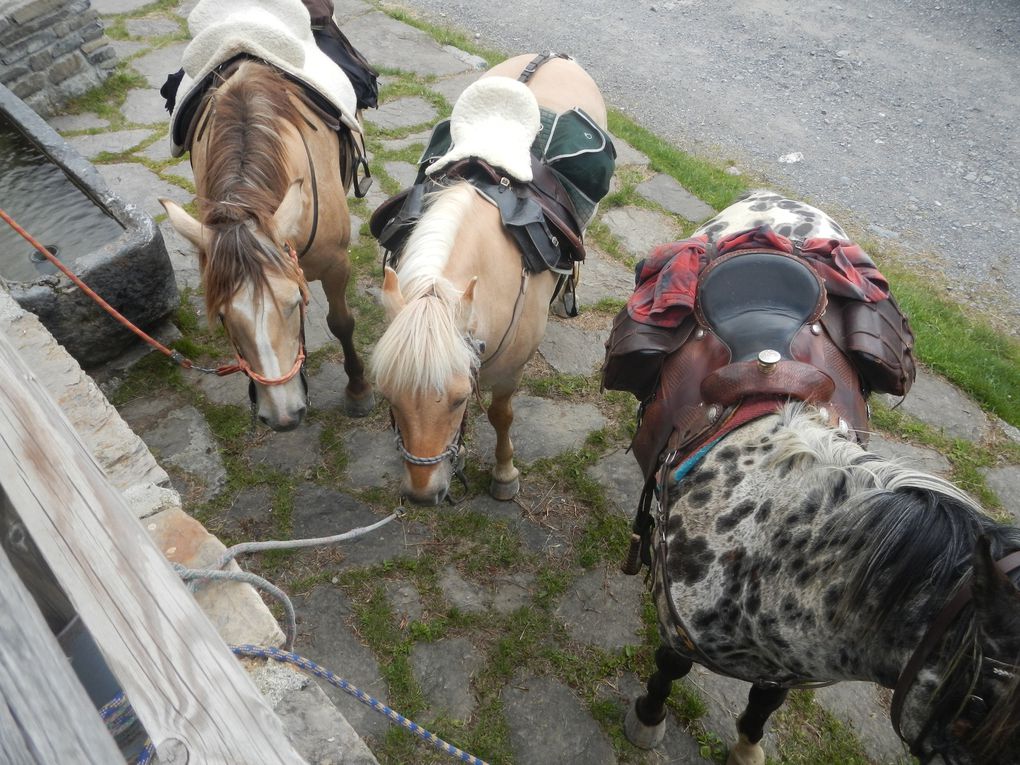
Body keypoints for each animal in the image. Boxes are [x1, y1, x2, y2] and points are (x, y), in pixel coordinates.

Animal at [163, 58, 375, 432]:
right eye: (222, 316)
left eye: (293, 304)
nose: (283, 416)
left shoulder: (336, 263)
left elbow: (341, 323)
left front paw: (358, 390)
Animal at [371, 55, 607, 510]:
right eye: (389, 394)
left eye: (461, 397)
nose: (423, 495)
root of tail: (553, 57)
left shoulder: (512, 369)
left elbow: (501, 415)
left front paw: (504, 475)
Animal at [612, 191, 1020, 765]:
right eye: (979, 704)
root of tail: (775, 200)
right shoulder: (678, 632)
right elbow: (668, 671)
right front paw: (648, 720)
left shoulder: (787, 663)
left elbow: (765, 703)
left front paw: (748, 746)